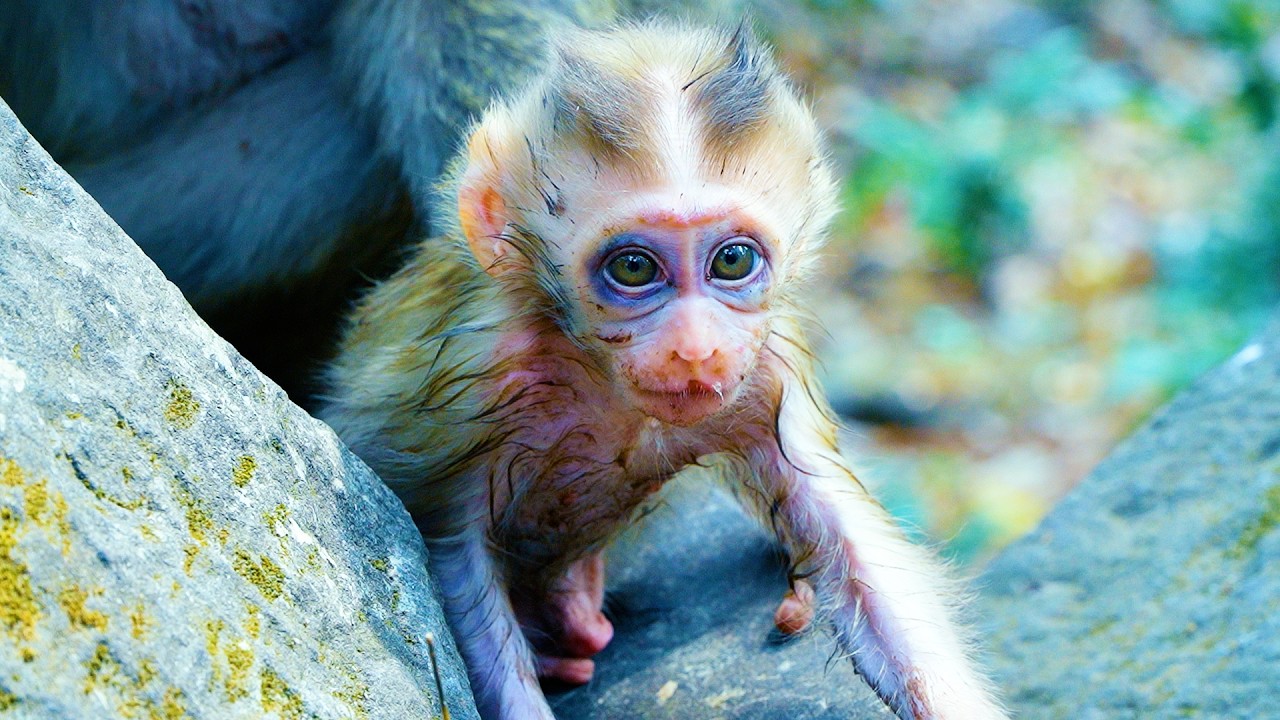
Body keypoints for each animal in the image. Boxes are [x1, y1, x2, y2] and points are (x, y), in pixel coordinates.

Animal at [318, 20, 1007, 720]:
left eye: (732, 260)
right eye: (633, 268)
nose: (695, 350)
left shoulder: (770, 368)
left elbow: (848, 538)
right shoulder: (478, 379)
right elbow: (456, 555)